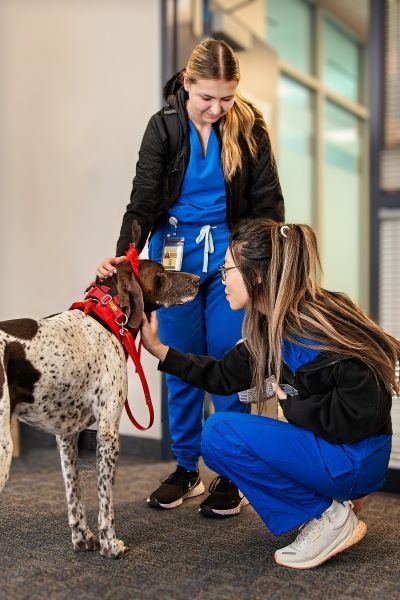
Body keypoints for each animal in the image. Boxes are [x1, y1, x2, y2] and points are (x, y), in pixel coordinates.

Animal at [0, 240, 199, 556]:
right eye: (160, 273)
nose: (198, 280)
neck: (108, 318)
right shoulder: (107, 432)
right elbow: (105, 500)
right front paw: (110, 544)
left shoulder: (67, 436)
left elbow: (75, 495)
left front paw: (83, 539)